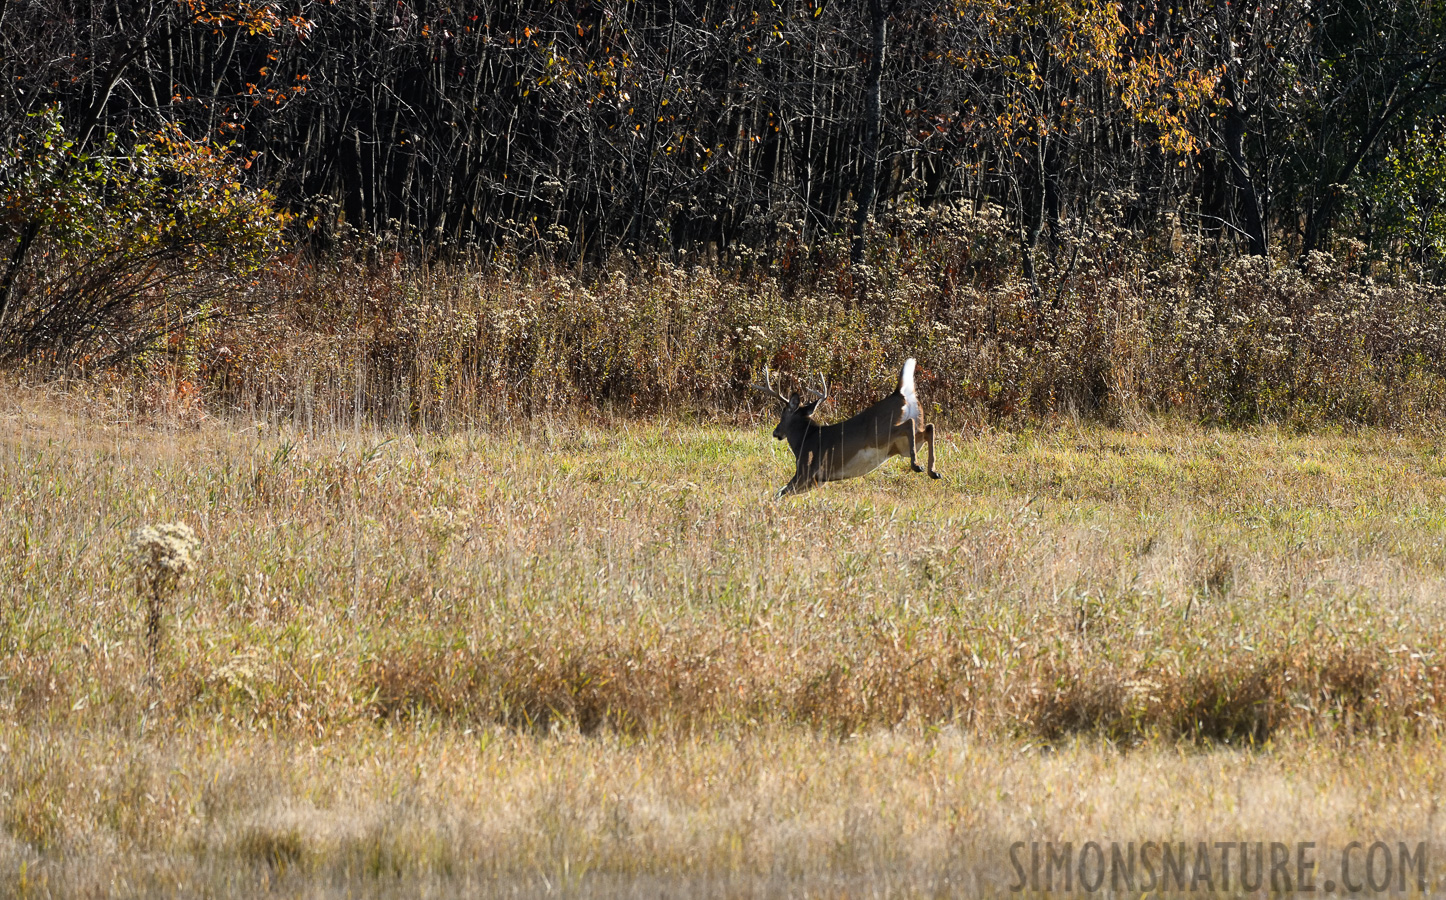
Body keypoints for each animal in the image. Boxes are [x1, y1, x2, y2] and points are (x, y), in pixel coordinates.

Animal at [751, 360, 942, 500]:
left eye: (782, 415)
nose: (776, 432)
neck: (803, 440)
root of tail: (900, 393)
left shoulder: (806, 470)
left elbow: (780, 493)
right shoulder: (818, 480)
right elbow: (781, 492)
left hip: (880, 434)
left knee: (909, 424)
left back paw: (917, 465)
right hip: (902, 443)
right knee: (928, 428)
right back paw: (933, 471)